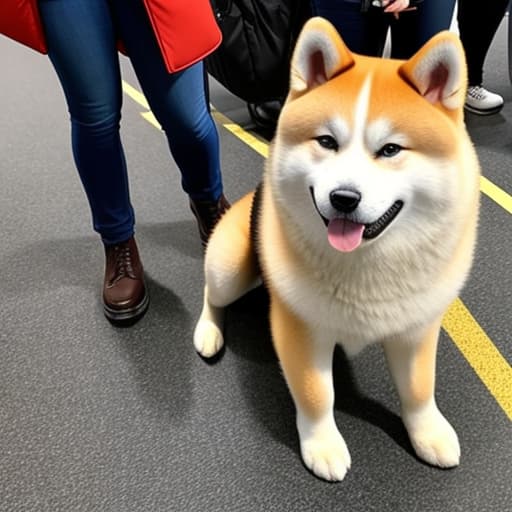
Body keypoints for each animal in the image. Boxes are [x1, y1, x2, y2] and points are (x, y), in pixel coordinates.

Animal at [193, 16, 480, 480]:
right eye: (327, 142)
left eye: (391, 149)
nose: (344, 198)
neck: (367, 265)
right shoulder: (300, 328)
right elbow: (316, 394)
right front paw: (322, 444)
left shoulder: (417, 329)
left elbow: (419, 389)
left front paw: (428, 433)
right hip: (229, 267)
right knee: (210, 293)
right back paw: (209, 331)